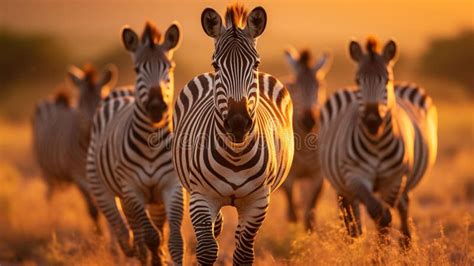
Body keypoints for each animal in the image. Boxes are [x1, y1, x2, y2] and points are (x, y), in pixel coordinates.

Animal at [32, 64, 115, 233]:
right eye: (80, 103)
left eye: (101, 99)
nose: (94, 128)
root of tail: (55, 99)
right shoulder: (78, 178)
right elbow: (93, 211)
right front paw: (99, 235)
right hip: (46, 171)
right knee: (49, 196)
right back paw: (50, 223)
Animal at [87, 21, 185, 264]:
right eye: (137, 70)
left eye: (169, 68)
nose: (157, 107)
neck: (151, 143)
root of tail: (122, 91)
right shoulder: (132, 189)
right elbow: (151, 237)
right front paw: (155, 257)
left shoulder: (172, 185)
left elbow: (173, 238)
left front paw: (164, 257)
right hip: (103, 189)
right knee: (127, 230)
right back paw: (132, 247)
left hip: (154, 199)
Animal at [172, 4, 294, 264]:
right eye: (216, 65)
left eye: (256, 64)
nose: (238, 124)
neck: (235, 156)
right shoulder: (201, 196)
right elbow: (207, 249)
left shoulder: (258, 202)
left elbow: (243, 254)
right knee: (217, 226)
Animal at [284, 47, 332, 229]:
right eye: (295, 87)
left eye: (320, 85)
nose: (309, 120)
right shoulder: (289, 176)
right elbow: (291, 204)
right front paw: (292, 219)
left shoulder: (318, 176)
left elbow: (310, 214)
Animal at [318, 37, 436, 247]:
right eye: (358, 80)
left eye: (387, 79)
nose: (372, 121)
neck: (377, 143)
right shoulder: (355, 176)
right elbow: (379, 214)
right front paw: (379, 251)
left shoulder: (394, 179)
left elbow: (386, 214)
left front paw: (383, 250)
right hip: (341, 184)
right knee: (350, 214)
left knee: (403, 207)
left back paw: (405, 243)